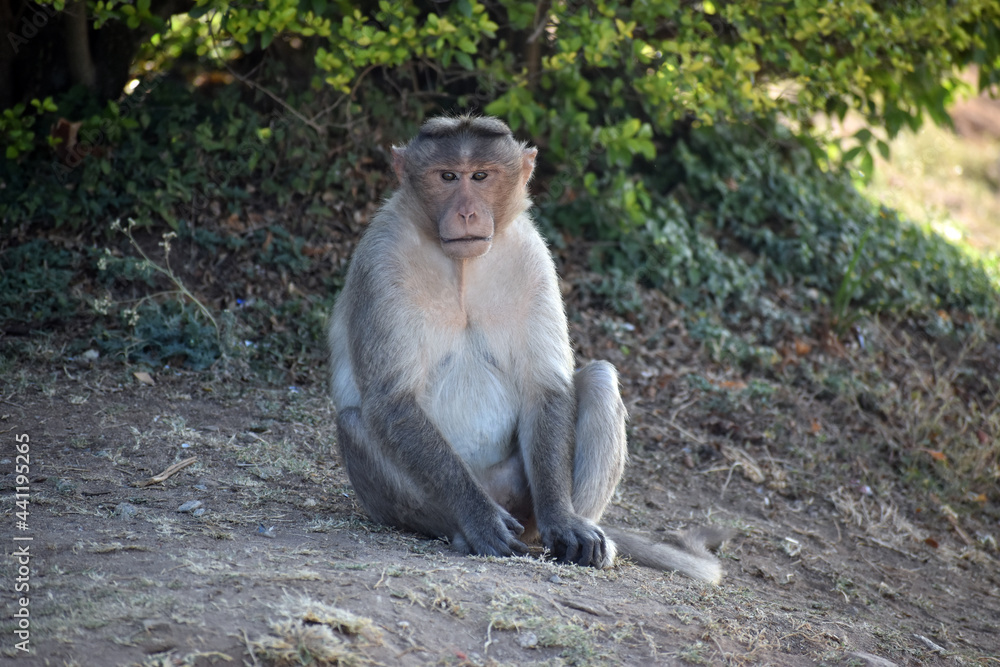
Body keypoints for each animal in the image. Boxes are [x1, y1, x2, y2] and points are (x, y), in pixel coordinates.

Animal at [328, 114, 725, 584]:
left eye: (481, 176)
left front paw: (565, 521)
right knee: (356, 420)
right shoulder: (380, 258)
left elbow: (546, 385)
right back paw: (460, 531)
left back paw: (575, 530)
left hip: (522, 497)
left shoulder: (533, 256)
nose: (467, 212)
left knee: (599, 379)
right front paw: (479, 519)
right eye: (448, 177)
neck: (462, 265)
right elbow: (393, 398)